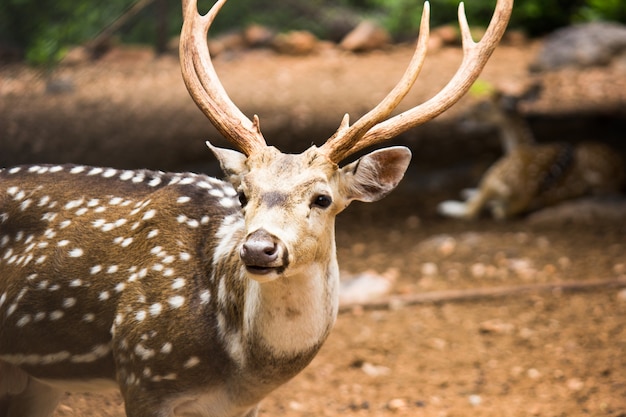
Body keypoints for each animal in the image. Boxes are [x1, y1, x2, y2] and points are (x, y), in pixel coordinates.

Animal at [0, 0, 512, 414]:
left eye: (323, 198)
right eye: (243, 194)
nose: (259, 248)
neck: (241, 371)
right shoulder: (141, 372)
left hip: (33, 381)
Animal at [436, 82, 620, 219]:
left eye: (485, 105)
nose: (463, 118)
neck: (521, 144)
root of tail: (526, 194)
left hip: (496, 170)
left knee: (472, 210)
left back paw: (447, 206)